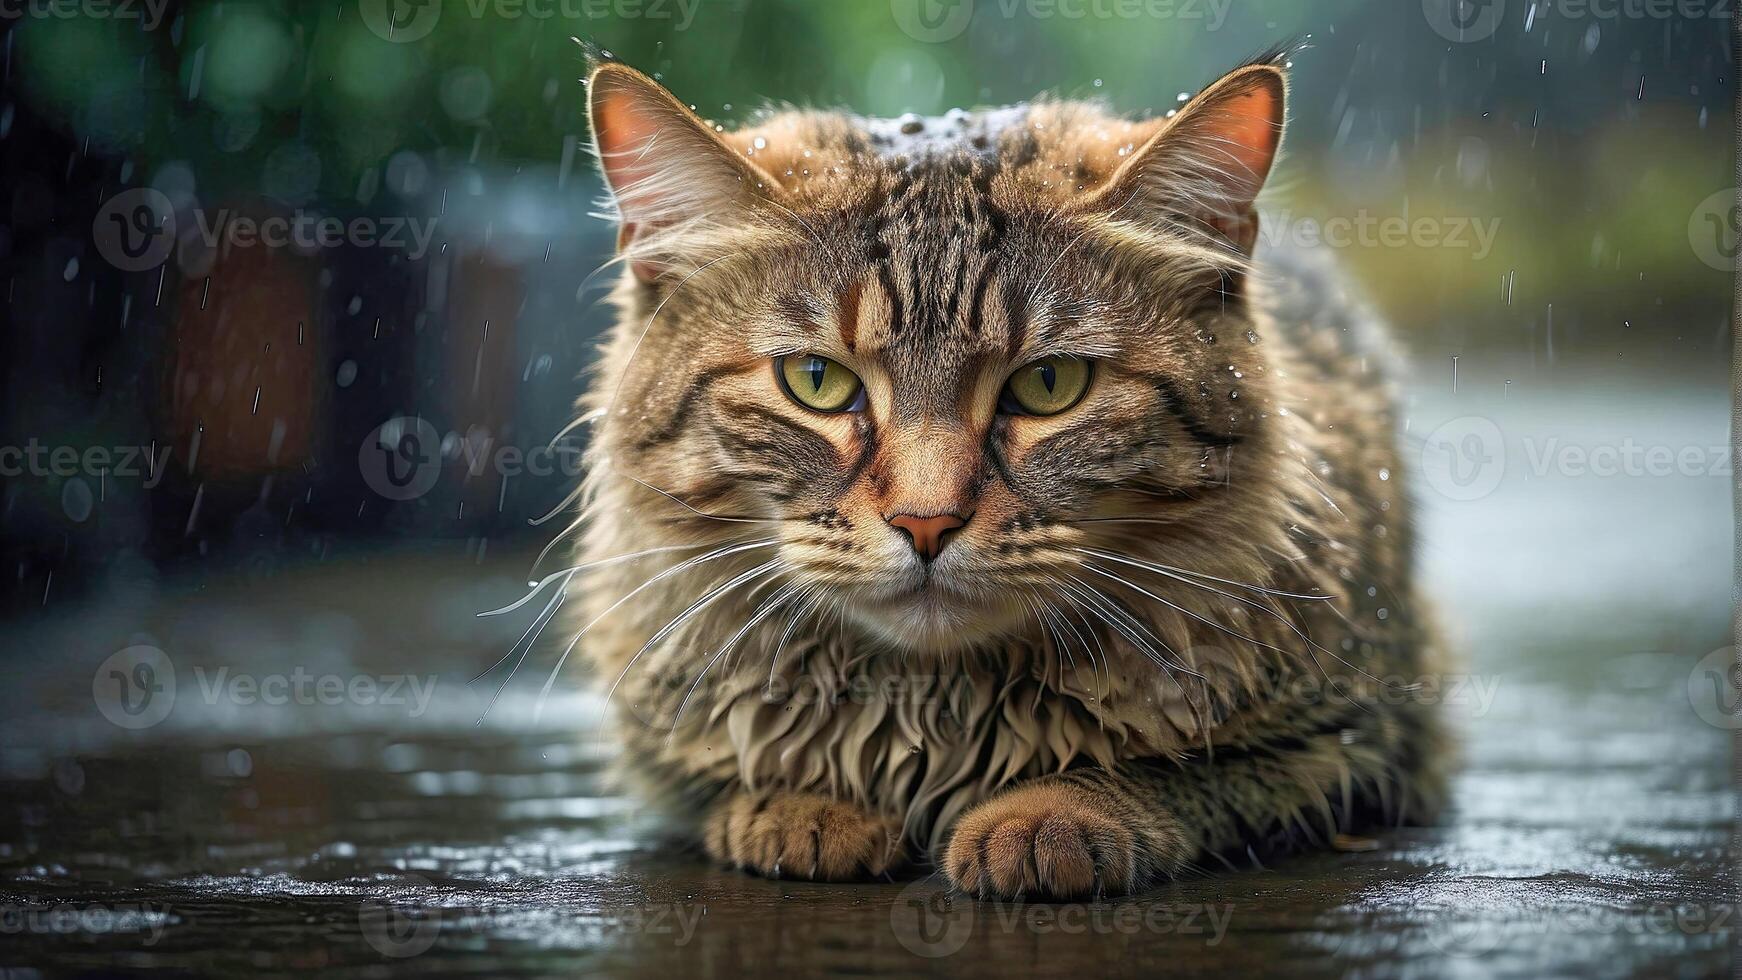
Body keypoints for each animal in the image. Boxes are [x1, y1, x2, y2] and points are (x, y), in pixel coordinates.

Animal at [567, 49, 1442, 898]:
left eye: (1049, 385)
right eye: (816, 381)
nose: (925, 522)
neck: (935, 709)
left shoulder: (1360, 738)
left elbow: (1175, 769)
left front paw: (1048, 815)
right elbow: (737, 776)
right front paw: (807, 811)